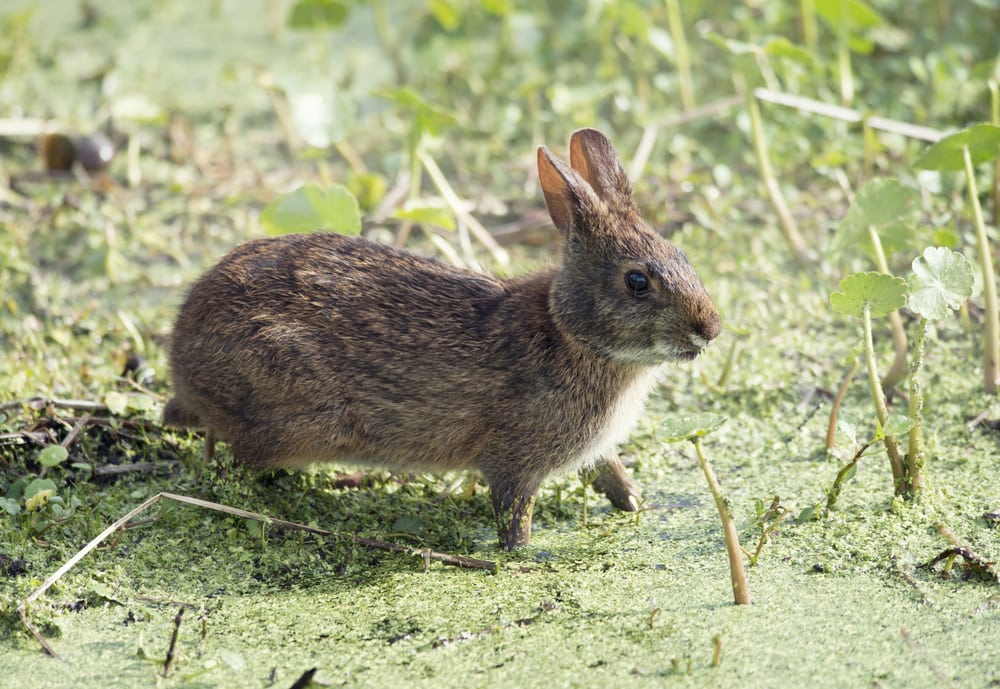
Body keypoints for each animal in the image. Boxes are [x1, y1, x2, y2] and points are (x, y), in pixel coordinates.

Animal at [163, 128, 722, 549]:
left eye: (682, 255)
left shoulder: (597, 449)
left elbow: (613, 475)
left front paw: (640, 504)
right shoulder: (515, 461)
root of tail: (180, 354)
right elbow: (513, 514)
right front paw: (525, 556)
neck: (570, 332)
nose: (710, 328)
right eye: (637, 281)